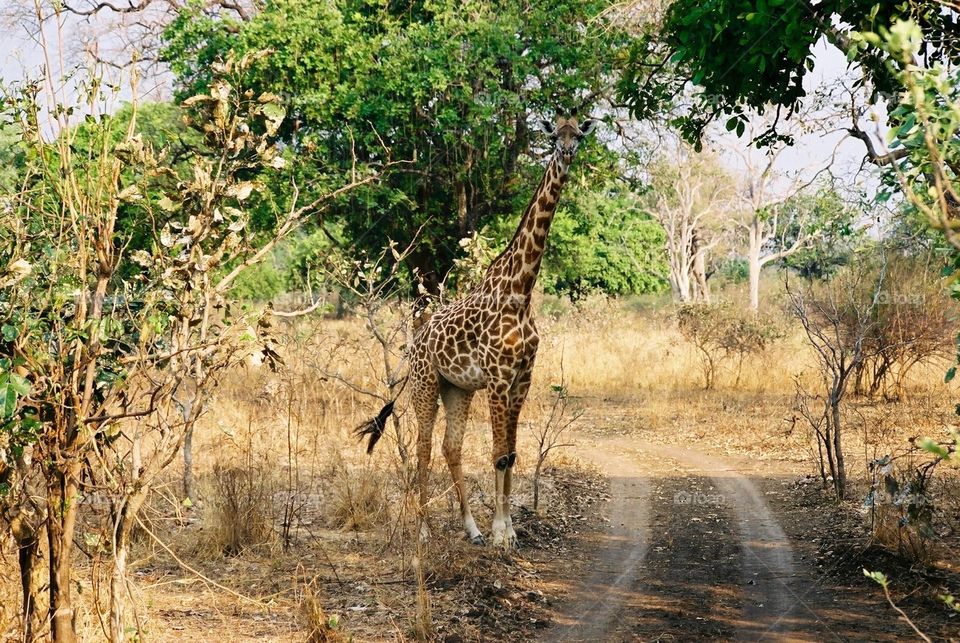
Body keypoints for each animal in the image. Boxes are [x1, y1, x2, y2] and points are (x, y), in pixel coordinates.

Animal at [358, 115, 596, 548]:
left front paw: (507, 531)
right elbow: (499, 453)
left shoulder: (522, 377)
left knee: (451, 448)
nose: (567, 153)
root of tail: (417, 338)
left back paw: (471, 530)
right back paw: (423, 531)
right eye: (555, 134)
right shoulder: (499, 378)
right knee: (424, 447)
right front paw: (502, 533)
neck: (521, 290)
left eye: (579, 135)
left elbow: (512, 453)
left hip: (458, 388)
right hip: (425, 383)